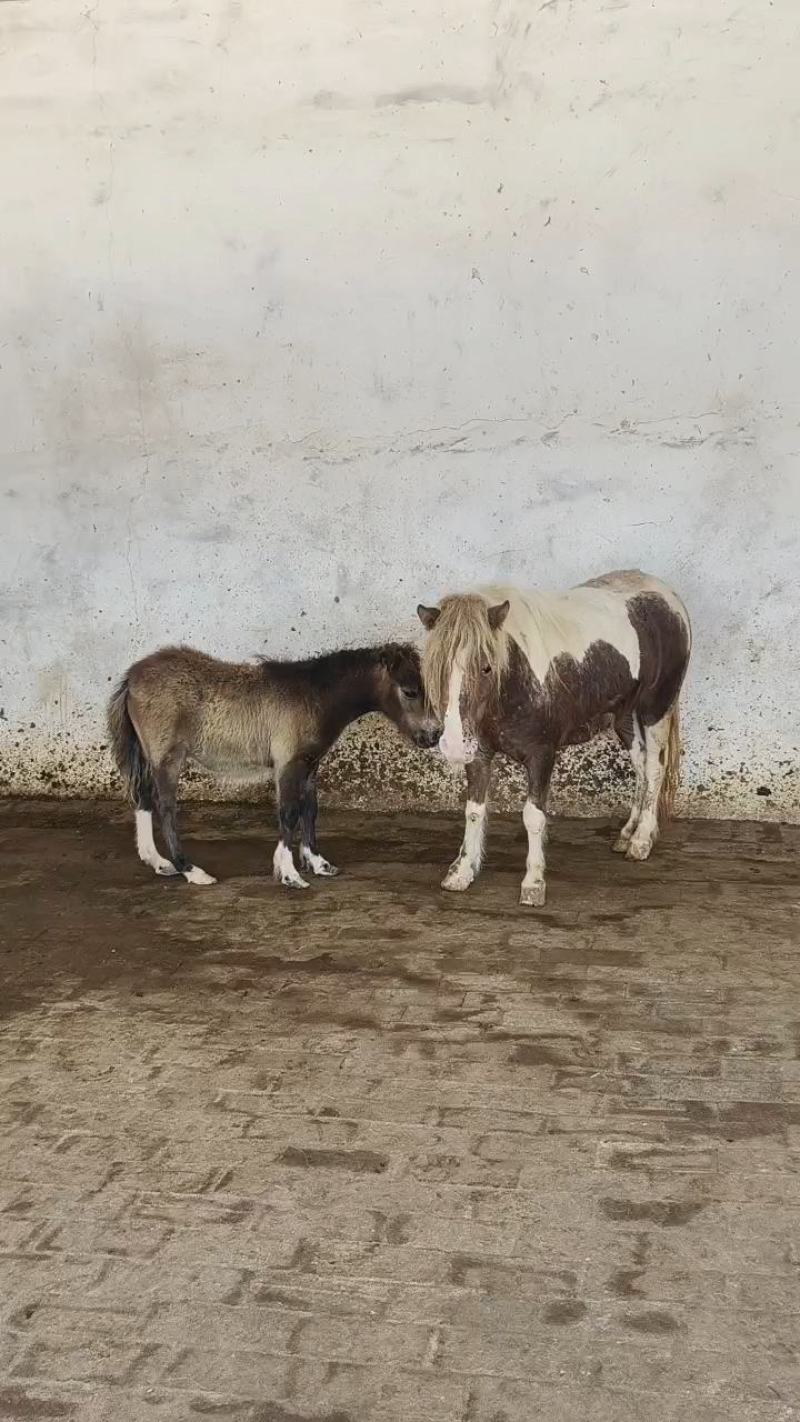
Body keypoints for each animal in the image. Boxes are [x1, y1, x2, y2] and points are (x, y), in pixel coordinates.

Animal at [108, 642, 440, 889]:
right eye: (410, 691)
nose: (433, 735)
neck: (313, 696)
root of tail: (133, 676)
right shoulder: (288, 764)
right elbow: (289, 813)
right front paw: (289, 873)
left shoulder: (309, 765)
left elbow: (309, 810)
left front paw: (318, 863)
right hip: (167, 757)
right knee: (165, 807)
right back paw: (190, 870)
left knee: (143, 797)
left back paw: (158, 862)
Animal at [417, 570, 691, 907]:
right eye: (436, 668)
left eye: (486, 668)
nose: (454, 745)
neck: (515, 681)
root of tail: (666, 594)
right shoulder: (478, 754)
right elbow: (473, 811)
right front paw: (463, 871)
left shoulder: (541, 756)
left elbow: (533, 817)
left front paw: (534, 883)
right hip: (624, 716)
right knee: (640, 765)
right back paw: (628, 833)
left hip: (656, 709)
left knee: (653, 768)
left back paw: (641, 840)